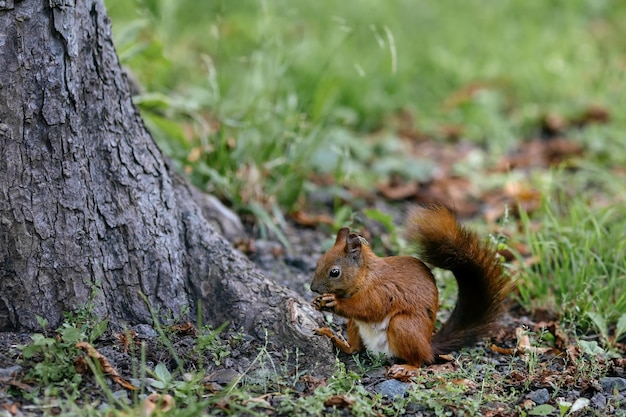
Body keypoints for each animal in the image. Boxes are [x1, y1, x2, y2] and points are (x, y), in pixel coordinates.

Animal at [310, 203, 510, 378]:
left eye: (334, 272)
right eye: (318, 262)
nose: (313, 288)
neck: (366, 276)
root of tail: (428, 346)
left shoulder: (383, 291)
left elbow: (369, 308)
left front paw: (333, 302)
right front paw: (318, 302)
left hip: (403, 326)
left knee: (419, 360)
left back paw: (406, 368)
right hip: (355, 324)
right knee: (354, 349)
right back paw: (334, 337)